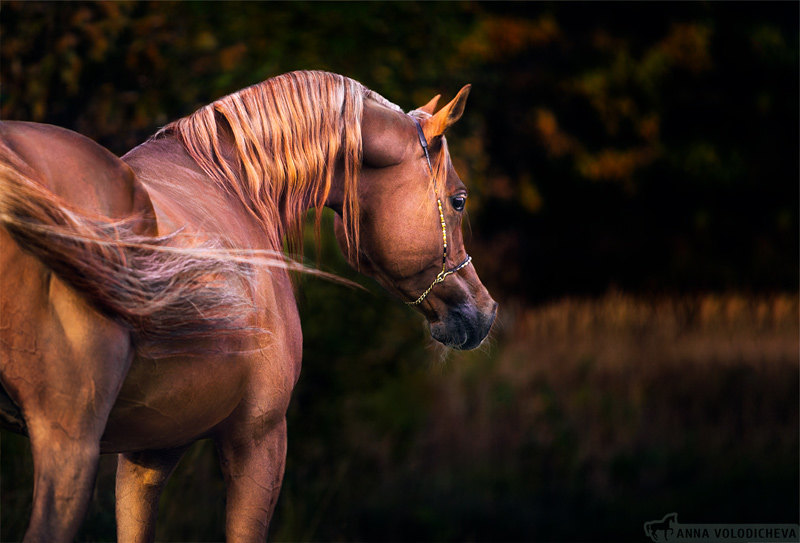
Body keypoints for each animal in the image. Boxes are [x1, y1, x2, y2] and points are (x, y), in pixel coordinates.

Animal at [0, 70, 496, 540]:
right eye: (458, 200)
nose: (485, 312)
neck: (234, 186)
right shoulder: (260, 437)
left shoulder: (150, 449)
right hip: (69, 445)